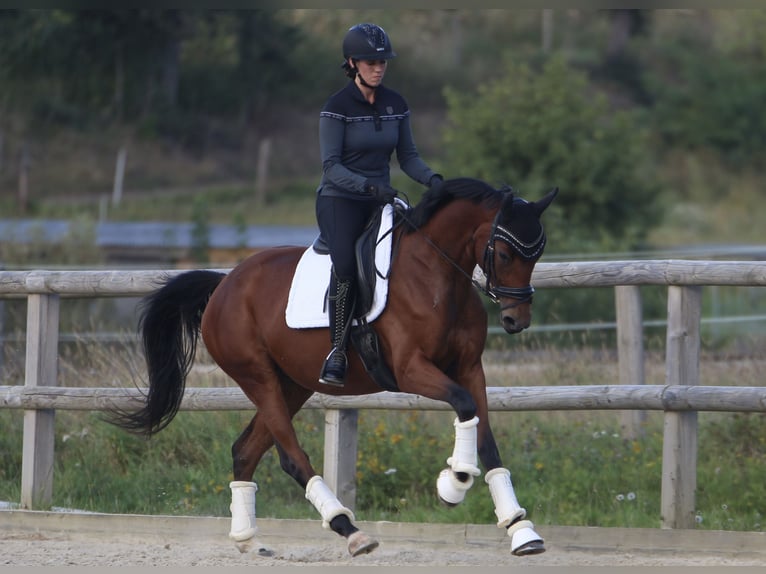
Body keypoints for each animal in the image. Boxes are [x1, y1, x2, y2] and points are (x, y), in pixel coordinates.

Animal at [111, 177, 557, 558]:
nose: (517, 320)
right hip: (259, 377)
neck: (435, 275)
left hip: (293, 384)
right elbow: (464, 406)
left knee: (245, 450)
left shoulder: (469, 368)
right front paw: (455, 482)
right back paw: (350, 530)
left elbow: (486, 437)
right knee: (290, 456)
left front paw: (520, 529)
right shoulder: (411, 370)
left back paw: (249, 540)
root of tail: (225, 284)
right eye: (505, 253)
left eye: (537, 254)